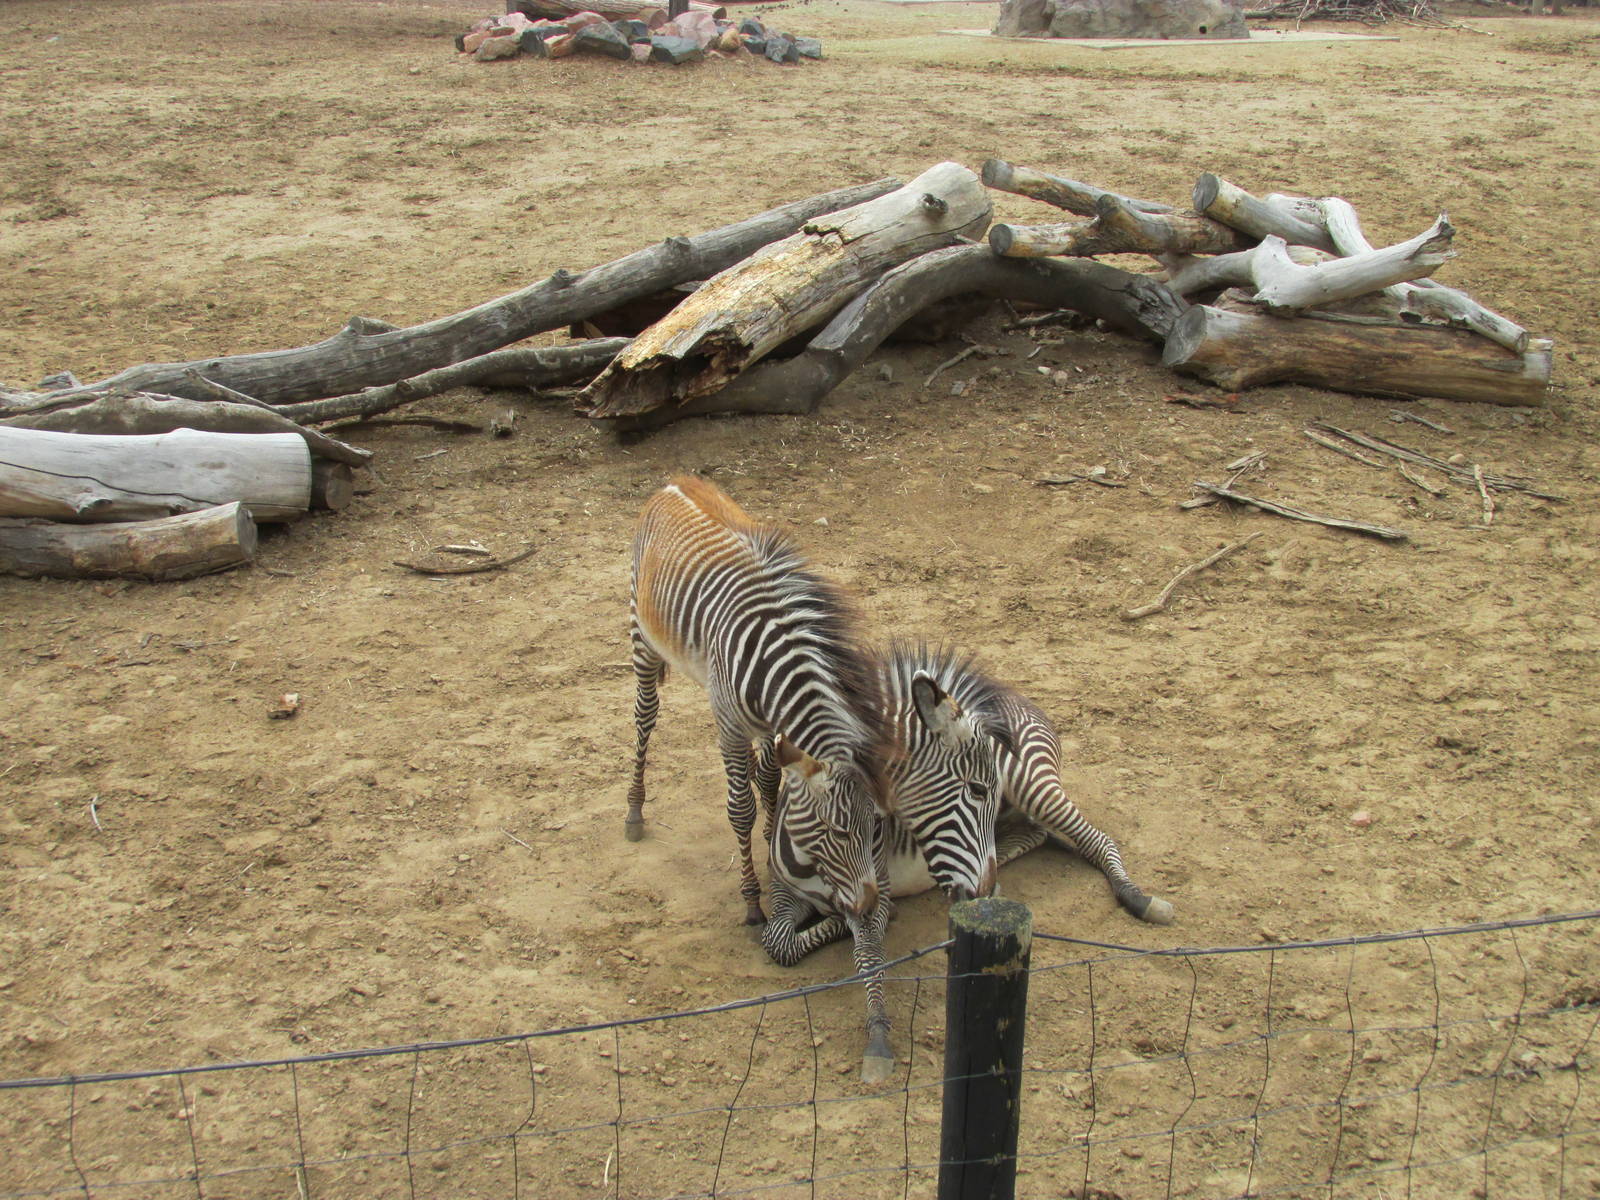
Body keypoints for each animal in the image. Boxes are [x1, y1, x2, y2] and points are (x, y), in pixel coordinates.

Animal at [628, 475, 952, 1082]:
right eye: (834, 833)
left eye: (879, 827)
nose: (868, 908)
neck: (772, 661)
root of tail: (676, 482)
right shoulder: (730, 724)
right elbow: (740, 807)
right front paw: (754, 899)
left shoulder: (775, 729)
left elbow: (773, 784)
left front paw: (776, 847)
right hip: (639, 635)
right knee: (643, 719)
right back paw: (633, 810)